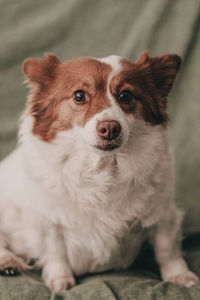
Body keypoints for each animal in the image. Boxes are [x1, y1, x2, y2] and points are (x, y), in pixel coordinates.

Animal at [0, 52, 198, 292]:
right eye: (79, 96)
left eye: (126, 95)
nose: (110, 128)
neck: (103, 168)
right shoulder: (47, 221)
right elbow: (55, 252)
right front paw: (60, 280)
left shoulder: (163, 214)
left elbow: (167, 250)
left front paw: (179, 276)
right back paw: (8, 262)